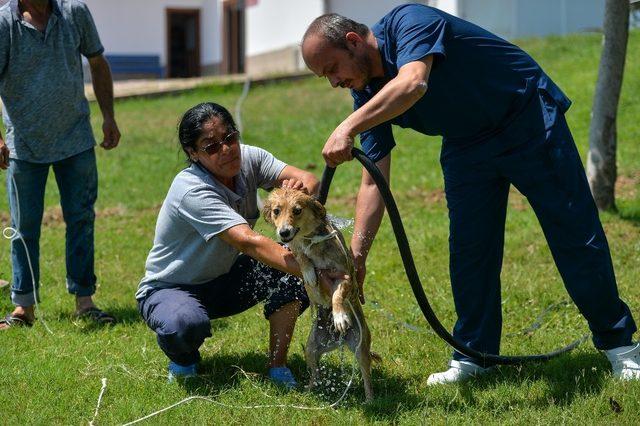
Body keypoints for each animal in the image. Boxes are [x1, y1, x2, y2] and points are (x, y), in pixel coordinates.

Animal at [262, 188, 378, 402]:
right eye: (276, 211)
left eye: (297, 210)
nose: (284, 232)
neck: (311, 241)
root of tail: (338, 341)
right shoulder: (295, 249)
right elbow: (300, 255)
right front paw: (308, 271)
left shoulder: (344, 276)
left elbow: (337, 295)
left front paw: (340, 316)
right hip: (311, 348)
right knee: (314, 375)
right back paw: (308, 392)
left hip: (360, 348)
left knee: (366, 375)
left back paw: (370, 400)